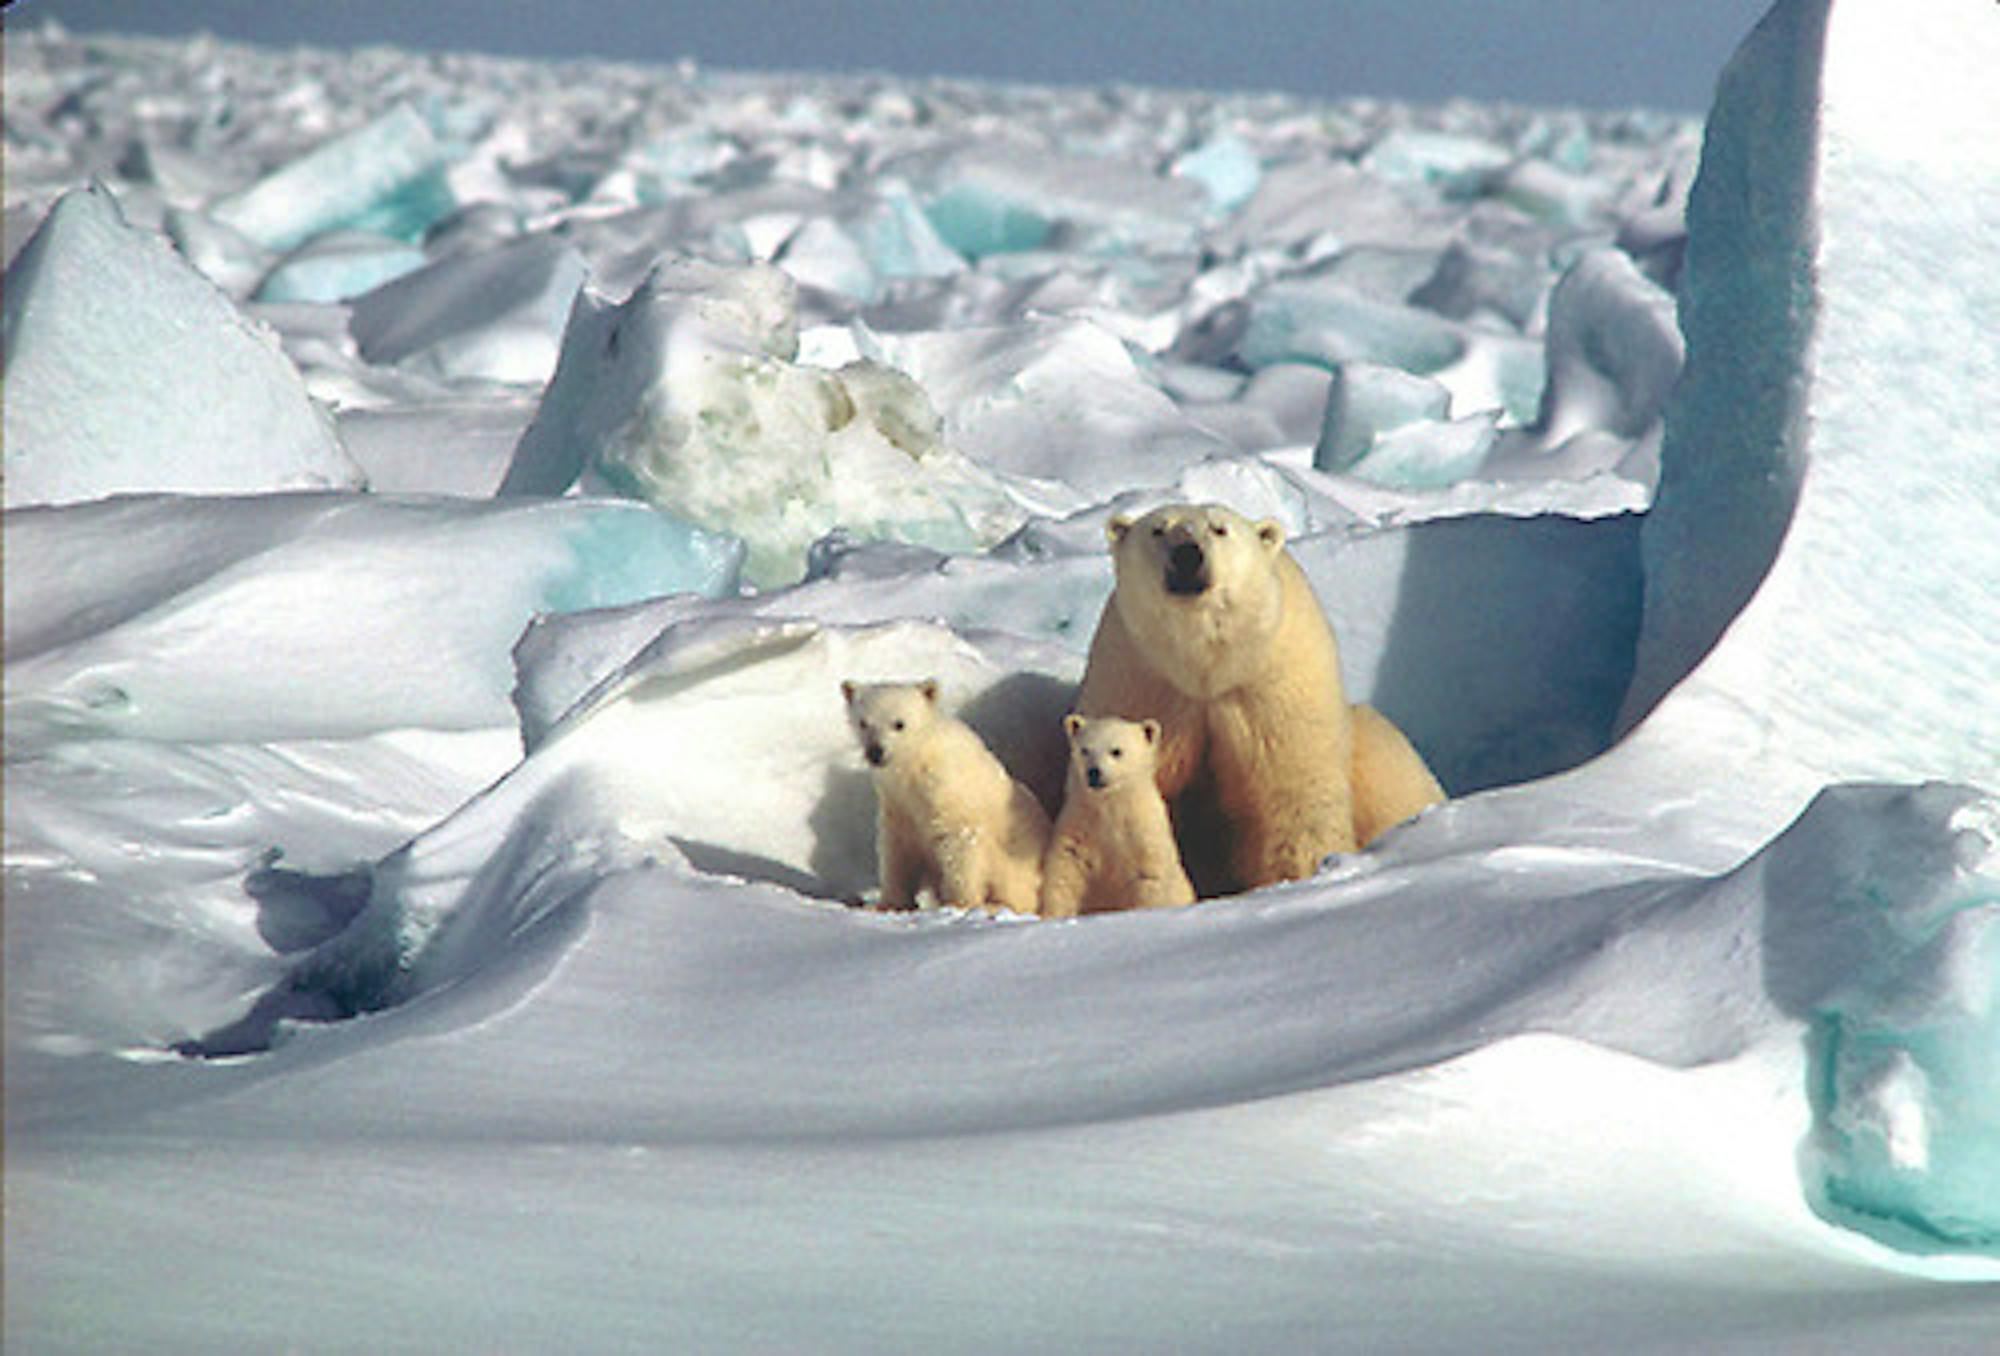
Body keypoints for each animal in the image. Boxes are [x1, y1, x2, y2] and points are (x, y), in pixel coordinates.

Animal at [840, 676, 1056, 912]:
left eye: (899, 724)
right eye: (863, 723)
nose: (876, 752)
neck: (917, 763)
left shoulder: (949, 791)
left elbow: (961, 840)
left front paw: (959, 903)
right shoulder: (896, 800)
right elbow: (898, 847)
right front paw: (888, 904)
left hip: (1016, 860)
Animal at [1040, 712, 1192, 924]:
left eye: (1116, 751)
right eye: (1085, 749)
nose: (1093, 772)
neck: (1111, 806)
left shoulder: (1142, 833)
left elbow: (1150, 877)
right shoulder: (1079, 825)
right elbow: (1066, 868)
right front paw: (1053, 915)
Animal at [1080, 504, 1440, 896]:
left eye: (1220, 529)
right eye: (1158, 529)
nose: (1188, 554)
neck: (1206, 667)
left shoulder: (1271, 687)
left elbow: (1291, 793)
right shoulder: (1144, 683)